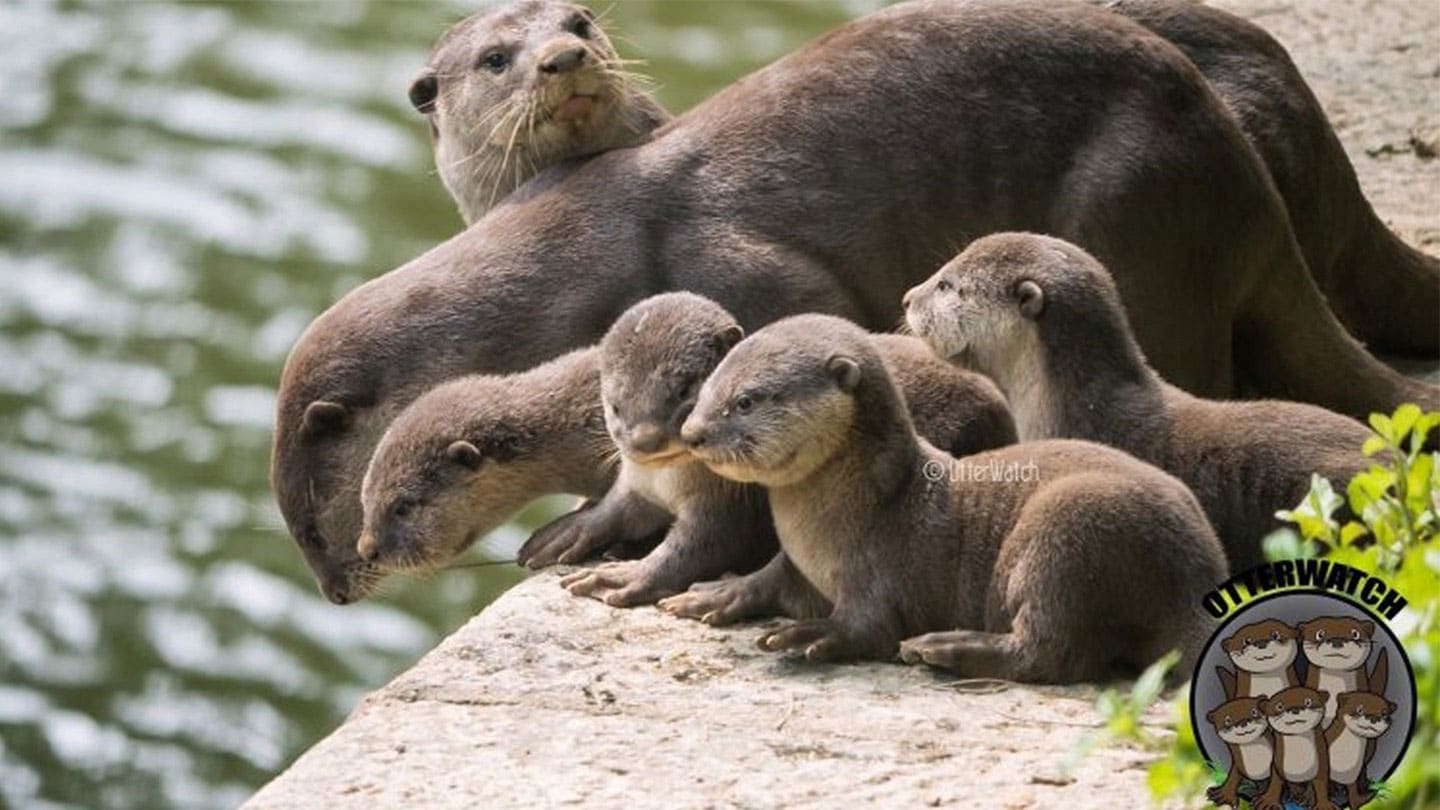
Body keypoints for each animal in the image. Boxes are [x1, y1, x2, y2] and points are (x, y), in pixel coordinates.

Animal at [673, 312, 1226, 677]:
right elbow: (767, 578)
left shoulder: (882, 574)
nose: (691, 433)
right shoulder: (798, 563)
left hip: (1070, 531)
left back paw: (944, 647)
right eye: (706, 391)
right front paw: (716, 591)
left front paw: (809, 633)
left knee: (1051, 653)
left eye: (746, 401)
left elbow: (869, 629)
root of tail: (1201, 576)